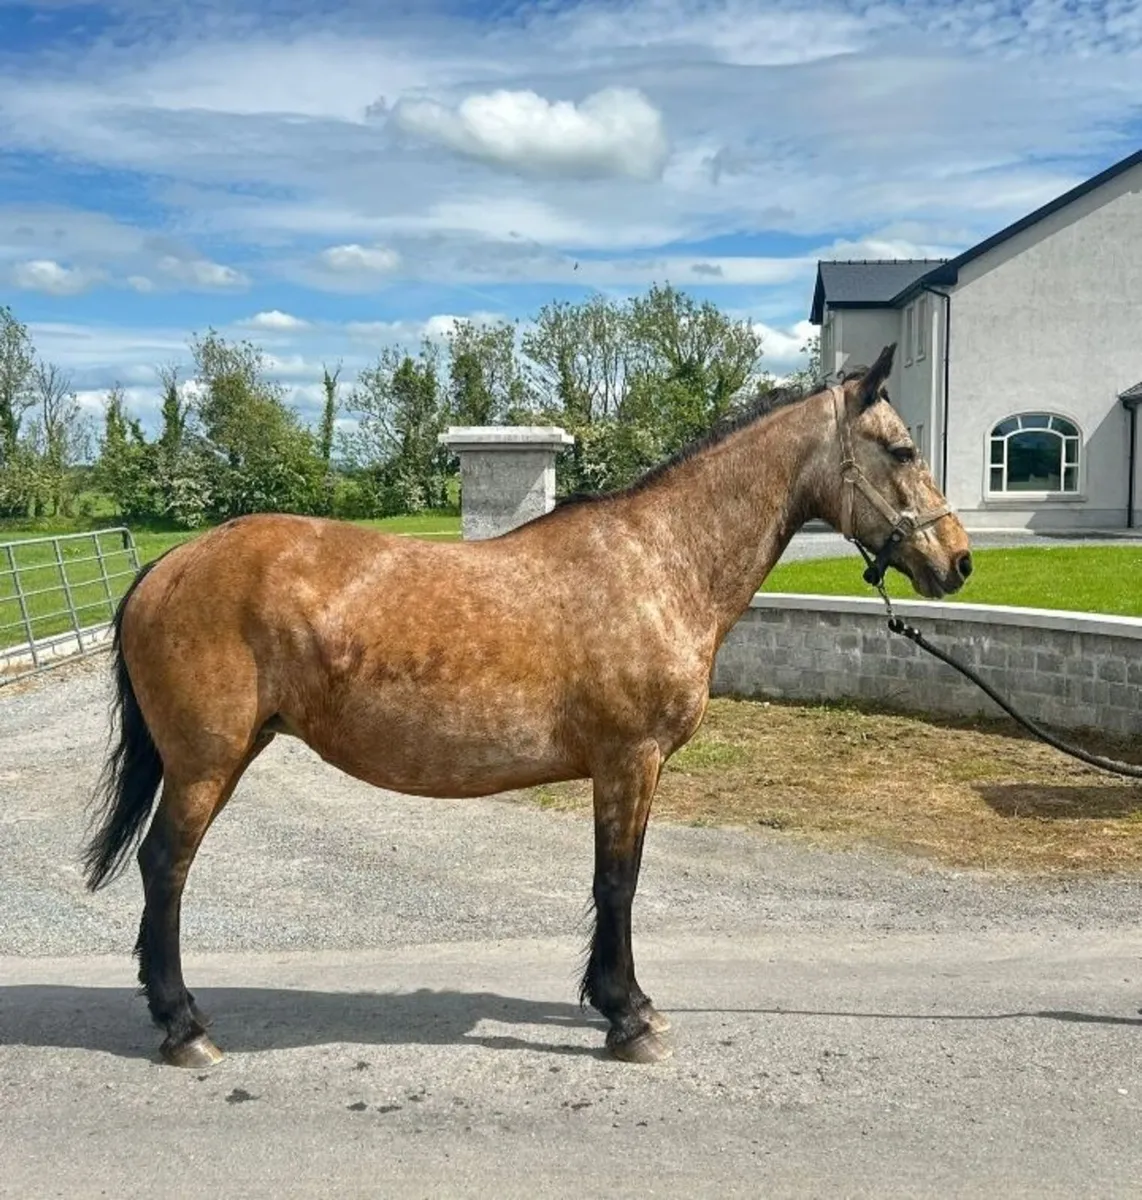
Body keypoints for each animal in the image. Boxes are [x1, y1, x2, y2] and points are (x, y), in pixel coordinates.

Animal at [82, 342, 972, 1069]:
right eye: (902, 449)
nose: (958, 561)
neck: (659, 562)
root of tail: (168, 565)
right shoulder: (627, 761)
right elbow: (618, 883)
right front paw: (628, 1018)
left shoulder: (630, 768)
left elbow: (616, 880)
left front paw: (621, 1004)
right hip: (206, 762)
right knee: (166, 867)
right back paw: (183, 1027)